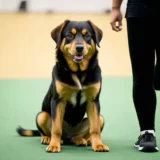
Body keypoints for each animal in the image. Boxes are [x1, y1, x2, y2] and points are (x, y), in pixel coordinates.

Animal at [16, 20, 109, 152]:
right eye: (69, 35)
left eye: (87, 35)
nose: (79, 48)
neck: (78, 72)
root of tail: (69, 135)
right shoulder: (58, 100)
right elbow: (56, 128)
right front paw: (54, 145)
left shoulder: (93, 101)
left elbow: (95, 129)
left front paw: (98, 145)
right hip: (41, 115)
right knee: (47, 131)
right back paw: (48, 139)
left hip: (100, 118)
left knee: (83, 133)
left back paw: (82, 140)